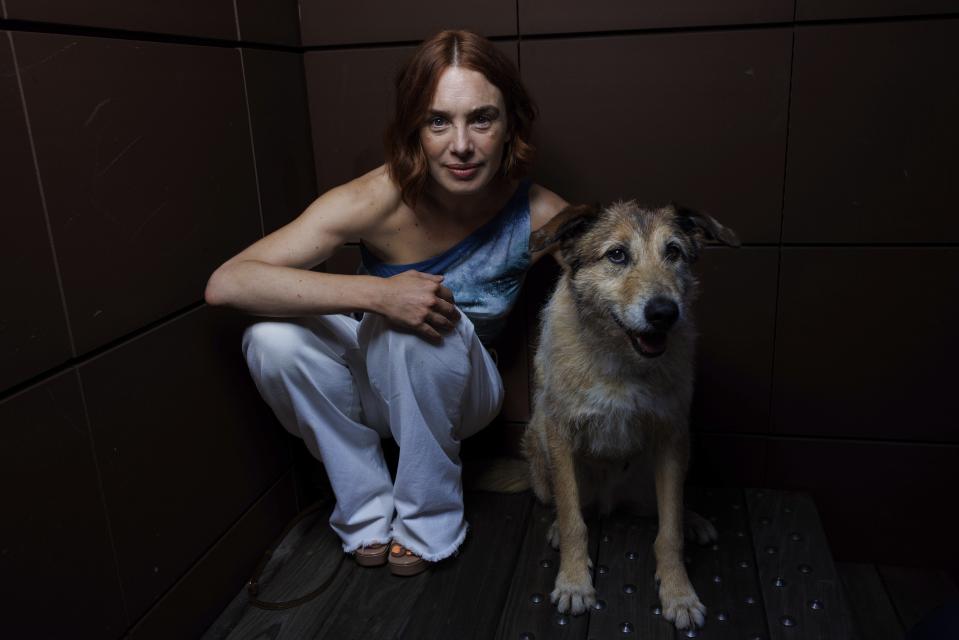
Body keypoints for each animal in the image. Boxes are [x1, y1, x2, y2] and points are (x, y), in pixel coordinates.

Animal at [520, 200, 740, 632]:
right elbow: (572, 519)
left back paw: (693, 519)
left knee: (668, 507)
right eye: (617, 255)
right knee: (569, 505)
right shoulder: (559, 431)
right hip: (536, 441)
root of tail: (612, 501)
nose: (664, 313)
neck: (620, 360)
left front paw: (679, 593)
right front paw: (574, 582)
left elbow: (669, 531)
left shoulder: (672, 437)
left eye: (674, 252)